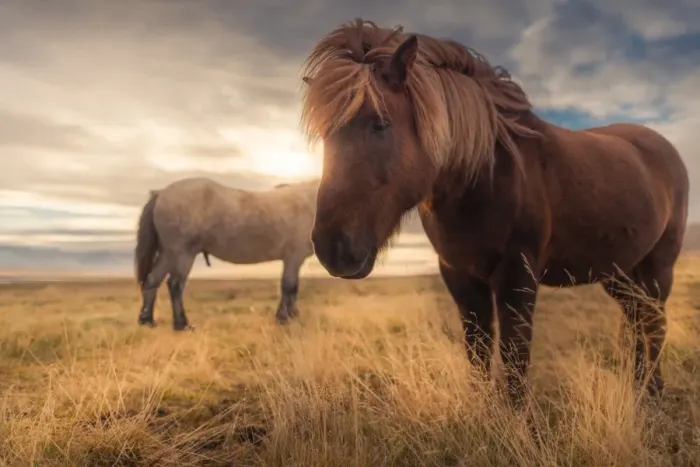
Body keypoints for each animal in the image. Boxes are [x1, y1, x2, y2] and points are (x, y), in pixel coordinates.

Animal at [134, 177, 320, 330]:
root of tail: (161, 193)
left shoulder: (294, 259)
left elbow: (291, 288)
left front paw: (290, 316)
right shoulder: (293, 256)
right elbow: (289, 286)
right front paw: (284, 318)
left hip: (168, 254)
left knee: (152, 281)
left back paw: (147, 320)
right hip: (182, 254)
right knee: (175, 285)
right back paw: (182, 324)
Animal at [300, 19, 689, 407]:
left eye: (379, 123)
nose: (332, 248)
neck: (483, 175)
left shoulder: (518, 273)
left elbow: (514, 355)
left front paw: (514, 417)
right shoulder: (459, 274)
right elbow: (479, 350)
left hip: (657, 268)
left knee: (654, 323)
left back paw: (653, 392)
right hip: (619, 272)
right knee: (637, 320)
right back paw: (637, 385)